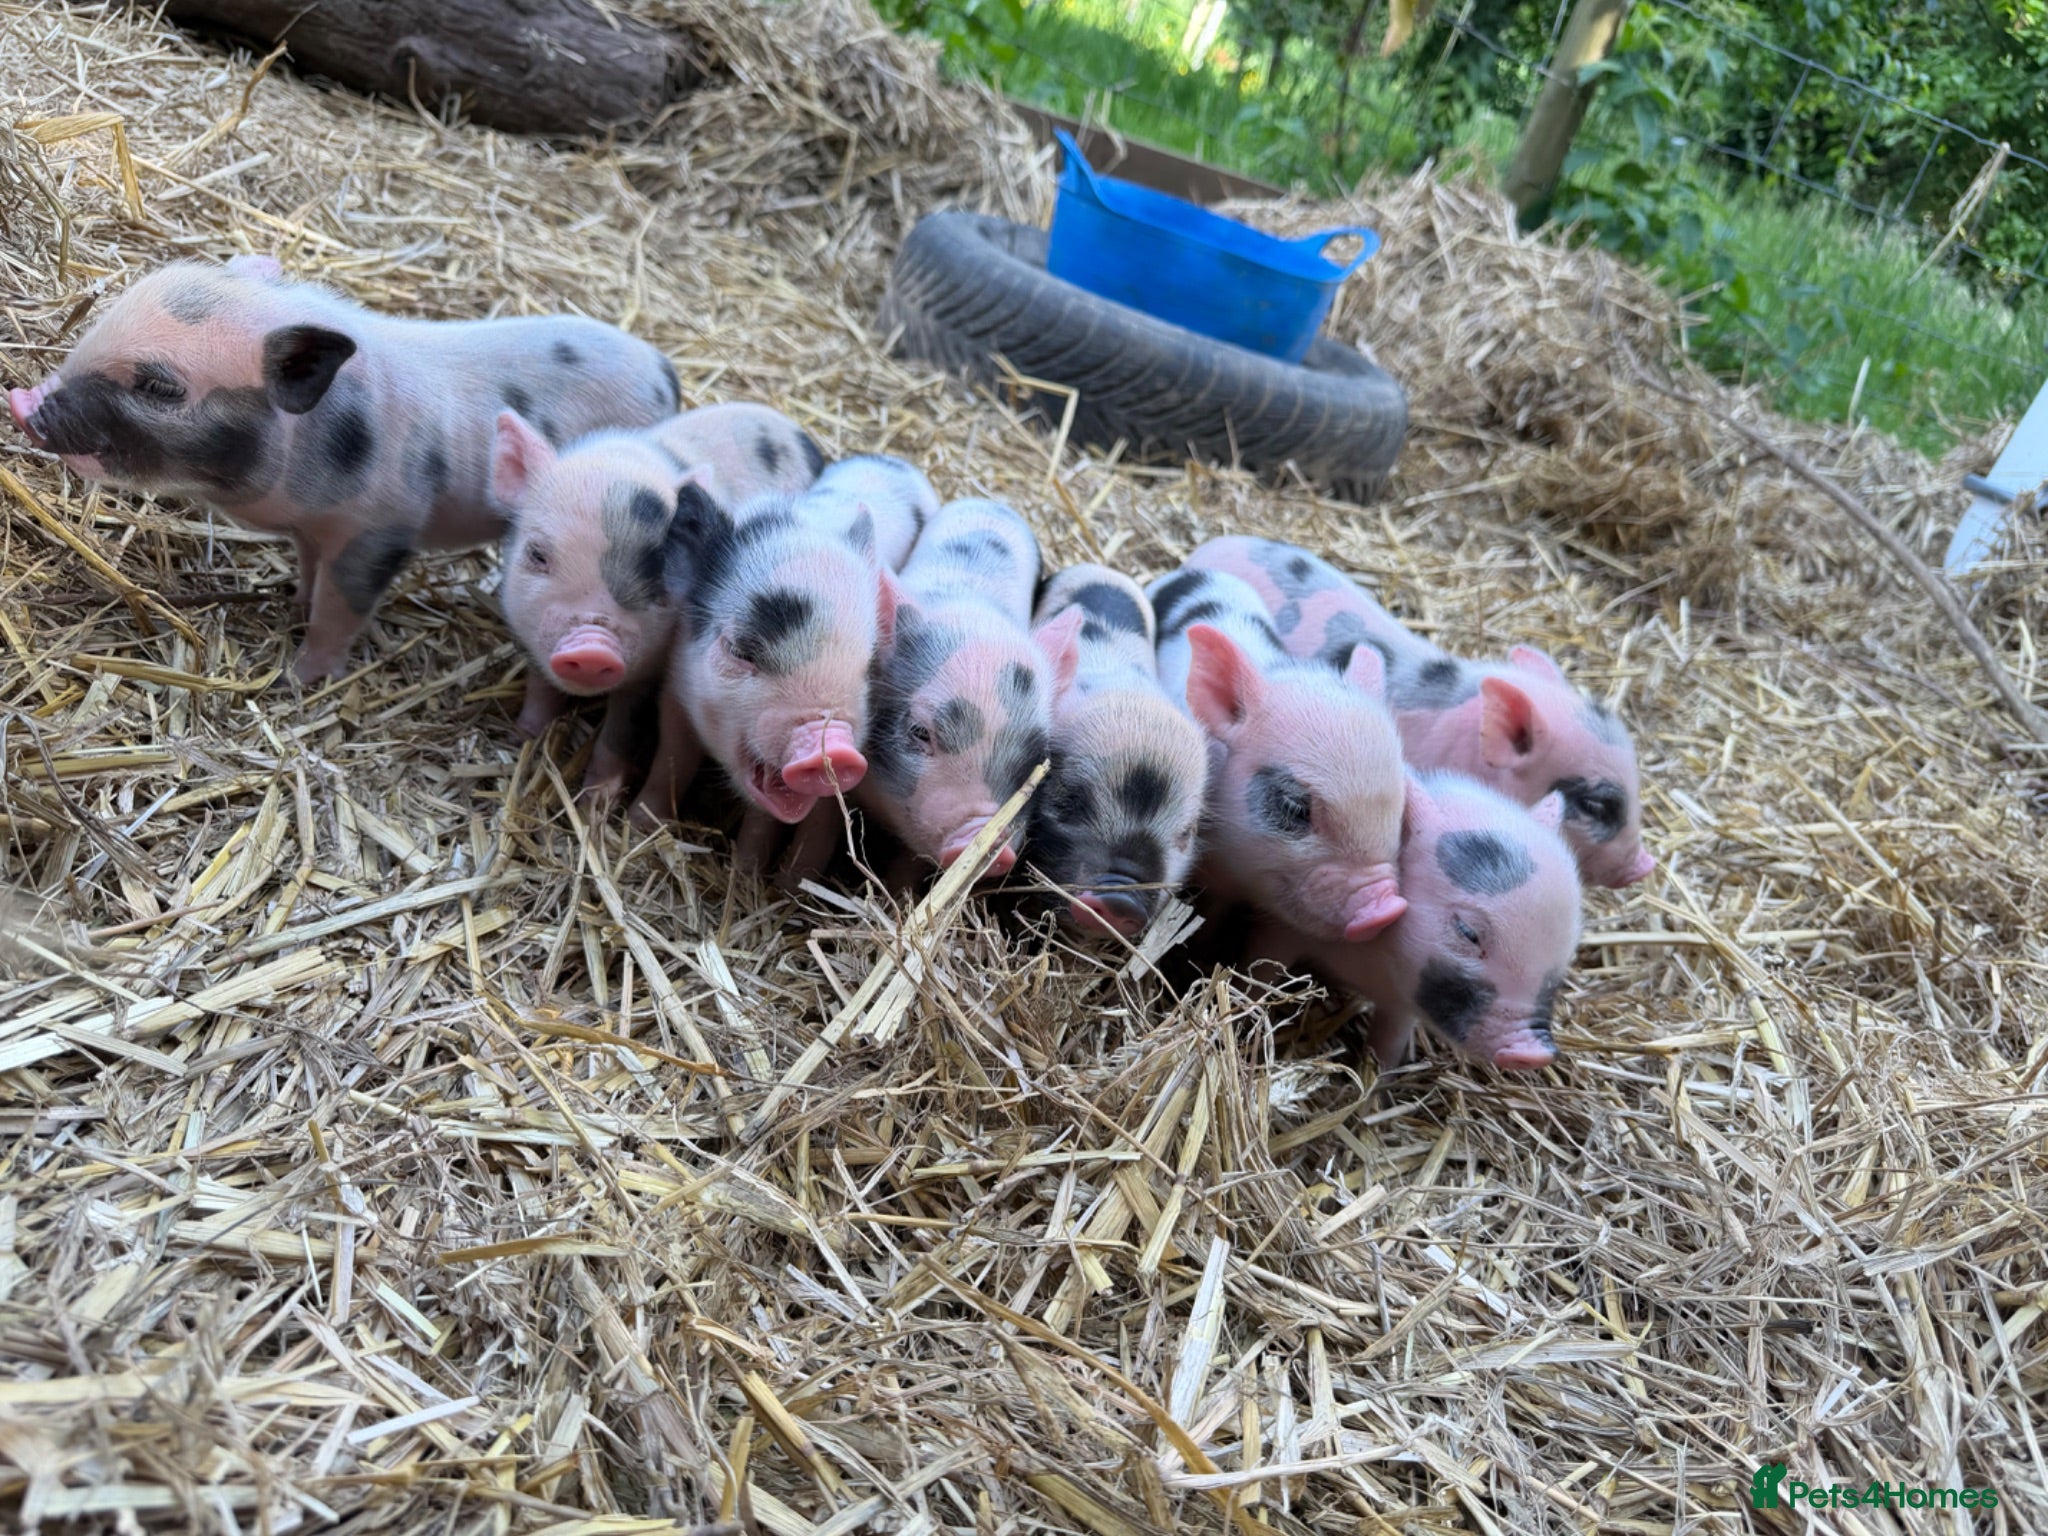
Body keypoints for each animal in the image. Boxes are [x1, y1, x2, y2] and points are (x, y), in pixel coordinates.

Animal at [6, 255, 680, 682]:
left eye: (159, 387)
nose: (21, 400)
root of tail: (666, 371)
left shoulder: (381, 530)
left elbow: (343, 607)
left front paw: (299, 679)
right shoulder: (311, 529)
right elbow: (310, 574)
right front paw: (291, 606)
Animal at [488, 402, 825, 798]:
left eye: (659, 573)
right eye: (537, 554)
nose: (592, 646)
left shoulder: (652, 674)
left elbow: (622, 732)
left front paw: (597, 799)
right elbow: (540, 690)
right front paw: (519, 738)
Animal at [627, 454, 936, 841]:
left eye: (868, 666)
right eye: (740, 651)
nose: (834, 747)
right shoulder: (675, 693)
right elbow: (671, 759)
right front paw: (639, 824)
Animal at [1252, 770, 1583, 1071]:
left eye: (1567, 950)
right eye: (1468, 931)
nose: (1535, 1054)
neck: (1368, 965)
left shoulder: (1402, 1004)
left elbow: (1387, 1048)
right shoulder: (1281, 928)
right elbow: (1261, 976)